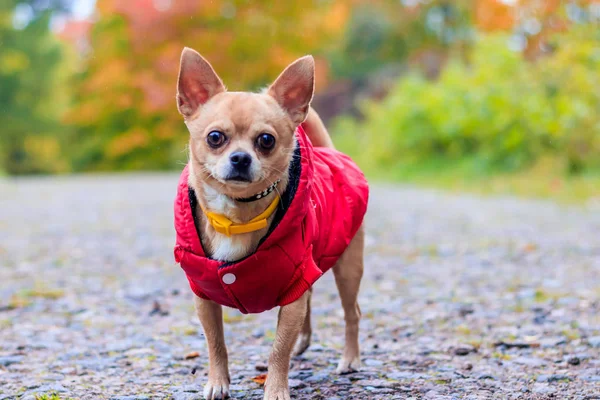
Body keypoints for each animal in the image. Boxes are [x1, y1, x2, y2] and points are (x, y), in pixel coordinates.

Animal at [173, 47, 368, 400]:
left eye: (266, 140)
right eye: (215, 137)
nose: (240, 158)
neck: (236, 217)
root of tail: (330, 152)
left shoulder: (293, 292)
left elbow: (277, 349)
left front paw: (275, 389)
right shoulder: (204, 296)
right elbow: (215, 342)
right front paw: (217, 383)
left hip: (347, 269)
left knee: (352, 314)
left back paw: (350, 359)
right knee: (310, 300)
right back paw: (303, 342)